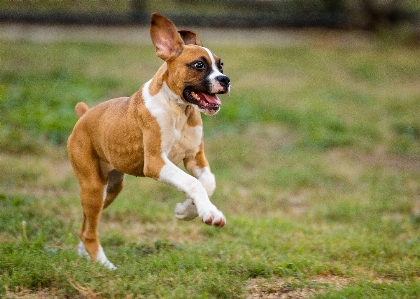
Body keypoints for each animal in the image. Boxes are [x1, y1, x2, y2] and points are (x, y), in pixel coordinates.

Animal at [67, 12, 230, 270]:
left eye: (220, 65)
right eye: (199, 65)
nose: (225, 79)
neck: (178, 109)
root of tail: (85, 114)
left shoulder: (195, 158)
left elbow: (207, 182)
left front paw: (187, 210)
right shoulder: (156, 162)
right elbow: (193, 183)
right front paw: (208, 213)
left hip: (111, 187)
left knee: (86, 226)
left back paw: (87, 256)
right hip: (93, 186)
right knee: (90, 230)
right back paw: (105, 265)